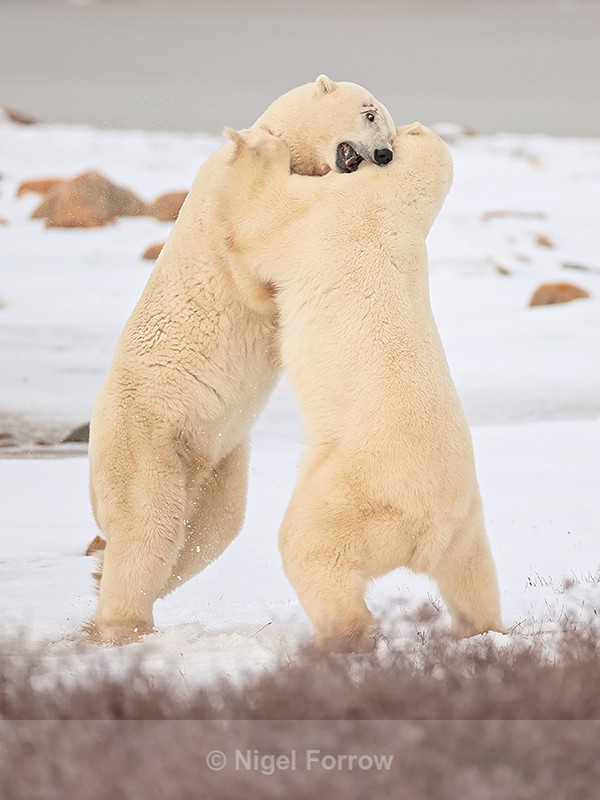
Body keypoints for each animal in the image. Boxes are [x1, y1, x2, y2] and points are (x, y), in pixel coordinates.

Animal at [87, 75, 396, 644]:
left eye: (387, 123)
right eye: (369, 114)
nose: (385, 154)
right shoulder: (223, 206)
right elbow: (252, 268)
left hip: (219, 460)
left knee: (207, 531)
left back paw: (105, 585)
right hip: (148, 432)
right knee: (147, 524)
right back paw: (123, 624)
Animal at [214, 122, 504, 651]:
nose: (378, 145)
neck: (397, 203)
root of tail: (423, 532)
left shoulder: (324, 216)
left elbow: (260, 217)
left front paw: (258, 146)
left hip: (355, 490)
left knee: (311, 548)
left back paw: (338, 636)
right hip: (465, 520)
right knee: (472, 575)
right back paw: (481, 629)